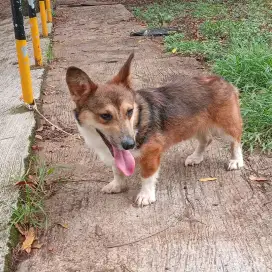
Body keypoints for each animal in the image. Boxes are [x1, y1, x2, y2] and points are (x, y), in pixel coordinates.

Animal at [66, 53, 244, 206]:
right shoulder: (117, 153)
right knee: (206, 139)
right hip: (196, 126)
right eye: (105, 116)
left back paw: (236, 160)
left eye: (129, 111)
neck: (137, 123)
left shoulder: (152, 152)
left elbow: (147, 175)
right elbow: (117, 170)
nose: (130, 144)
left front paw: (145, 195)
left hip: (225, 126)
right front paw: (117, 185)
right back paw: (196, 157)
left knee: (236, 140)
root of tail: (224, 81)